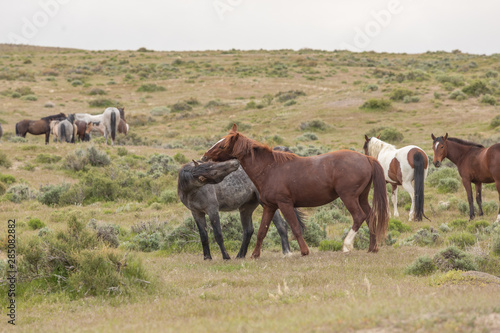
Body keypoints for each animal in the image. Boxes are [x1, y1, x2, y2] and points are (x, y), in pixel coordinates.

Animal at [201, 124, 388, 256]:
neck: (270, 168)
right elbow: (262, 231)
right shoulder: (270, 206)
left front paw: (304, 251)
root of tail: (367, 158)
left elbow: (295, 227)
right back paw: (372, 248)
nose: (204, 157)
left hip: (348, 197)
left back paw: (347, 246)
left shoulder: (285, 204)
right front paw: (255, 254)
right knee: (370, 216)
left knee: (359, 216)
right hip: (361, 197)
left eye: (222, 146)